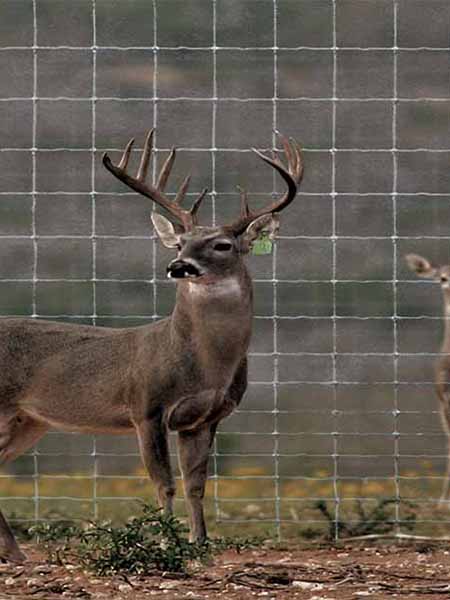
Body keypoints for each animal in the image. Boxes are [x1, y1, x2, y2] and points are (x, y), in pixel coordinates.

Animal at [0, 129, 304, 560]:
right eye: (179, 244)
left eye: (223, 245)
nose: (179, 267)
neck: (200, 364)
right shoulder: (147, 408)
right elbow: (165, 483)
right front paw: (166, 541)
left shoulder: (206, 418)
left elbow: (196, 484)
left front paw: (199, 543)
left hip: (28, 420)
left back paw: (15, 553)